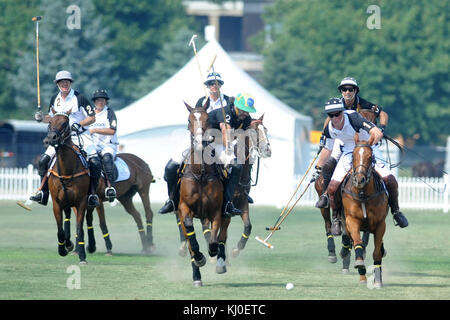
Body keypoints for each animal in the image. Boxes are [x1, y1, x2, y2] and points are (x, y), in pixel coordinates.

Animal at [177, 99, 230, 284]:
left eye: (208, 120)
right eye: (189, 120)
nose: (200, 143)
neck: (200, 173)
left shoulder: (215, 211)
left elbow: (214, 240)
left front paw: (213, 251)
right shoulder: (184, 208)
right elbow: (190, 234)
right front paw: (199, 258)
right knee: (189, 241)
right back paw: (196, 275)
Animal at [340, 134, 388, 288]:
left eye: (370, 156)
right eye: (353, 155)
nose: (359, 179)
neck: (363, 194)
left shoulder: (380, 224)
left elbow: (377, 252)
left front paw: (378, 280)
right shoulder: (352, 220)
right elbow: (358, 243)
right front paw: (360, 267)